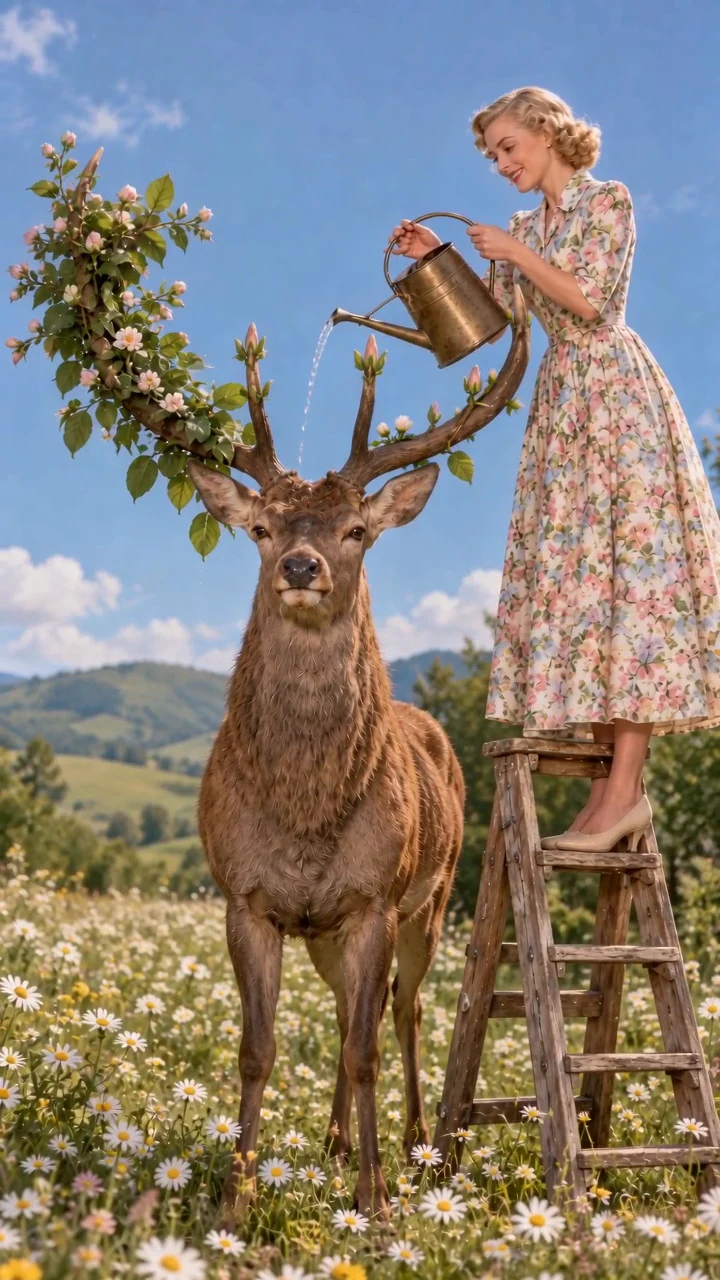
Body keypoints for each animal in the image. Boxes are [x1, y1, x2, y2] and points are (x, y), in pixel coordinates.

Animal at [186, 304, 529, 1223]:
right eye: (262, 528)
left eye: (357, 531)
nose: (303, 566)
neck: (306, 814)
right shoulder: (246, 896)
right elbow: (258, 1049)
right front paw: (232, 1203)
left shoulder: (375, 895)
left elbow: (369, 1045)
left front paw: (374, 1205)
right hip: (327, 933)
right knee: (346, 1015)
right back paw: (335, 1142)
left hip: (430, 902)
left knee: (402, 1014)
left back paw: (410, 1144)